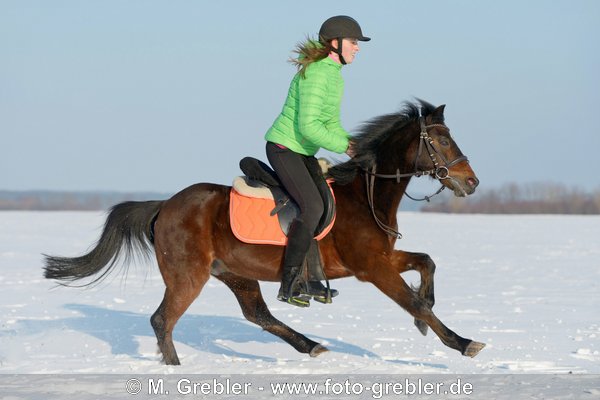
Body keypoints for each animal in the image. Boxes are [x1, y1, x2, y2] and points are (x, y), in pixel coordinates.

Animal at [43, 98, 482, 364]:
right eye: (441, 140)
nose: (471, 182)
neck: (366, 195)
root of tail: (164, 206)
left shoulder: (383, 257)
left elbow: (427, 264)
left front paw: (427, 318)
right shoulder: (371, 267)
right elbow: (413, 302)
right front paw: (461, 342)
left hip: (235, 273)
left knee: (258, 314)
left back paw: (310, 345)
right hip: (188, 275)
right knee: (162, 320)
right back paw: (176, 368)